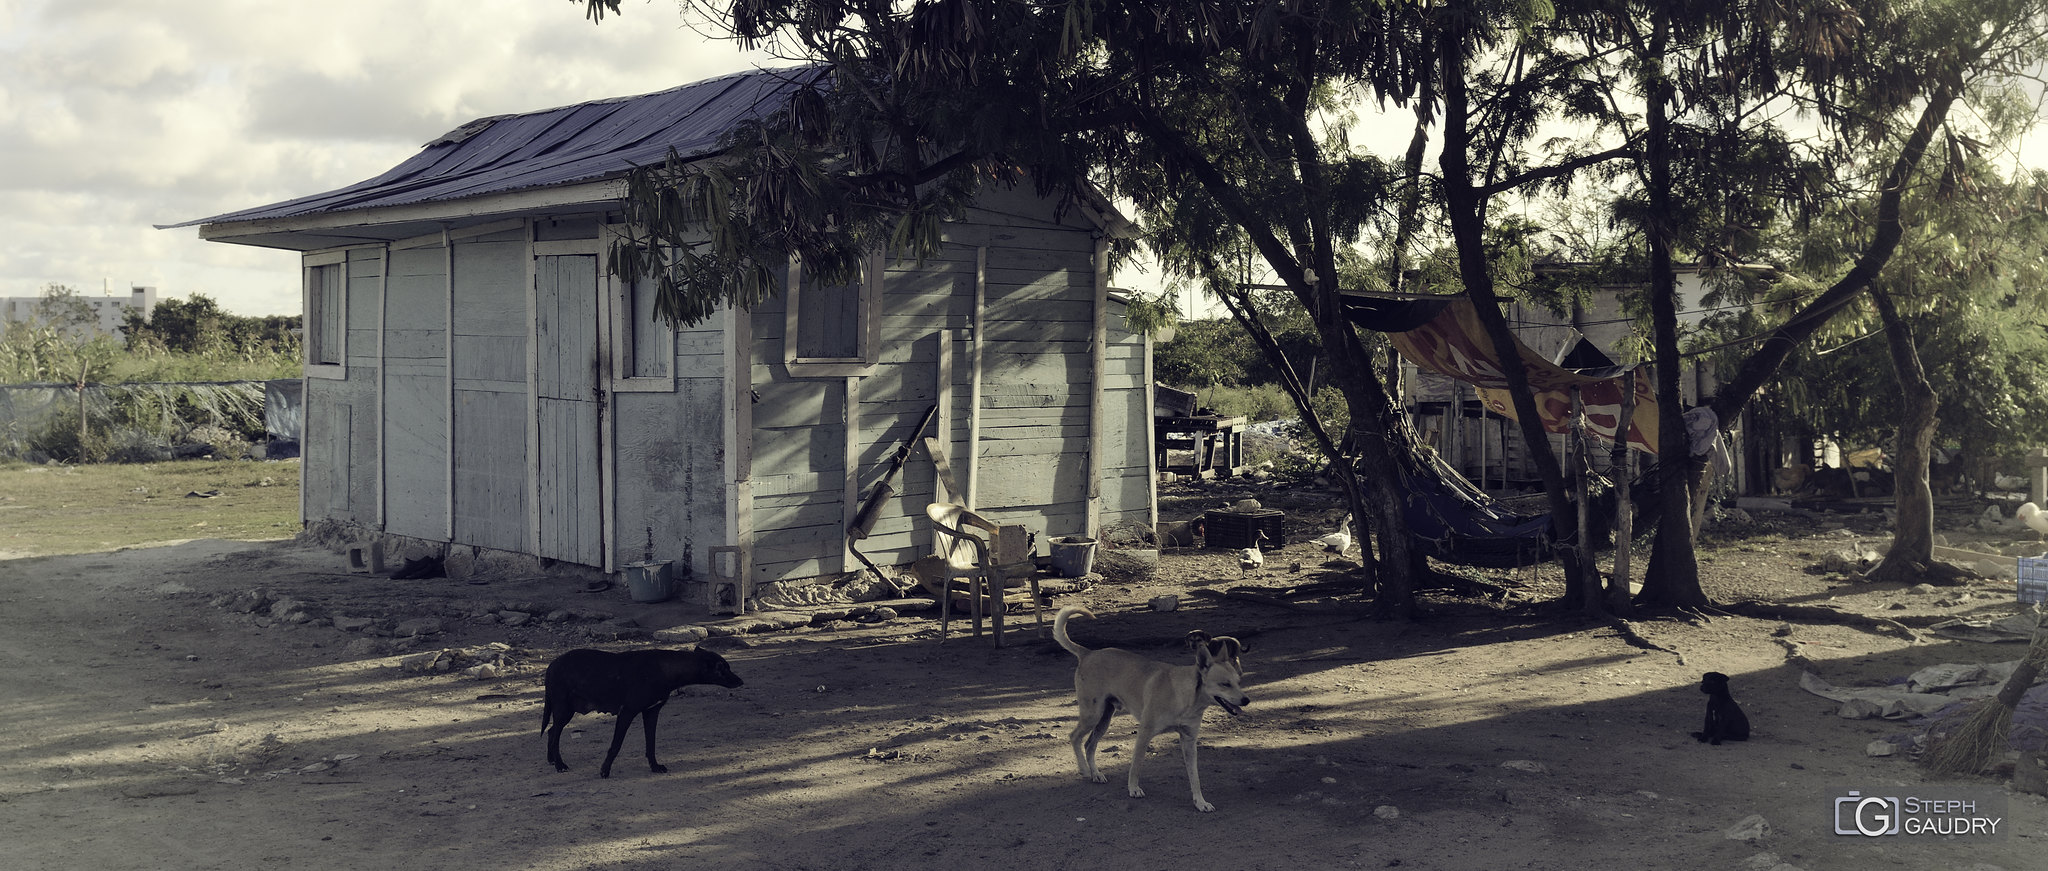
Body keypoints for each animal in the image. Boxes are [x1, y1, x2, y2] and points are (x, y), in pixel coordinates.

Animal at [544, 643, 745, 774]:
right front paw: (605, 770)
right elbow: (615, 745)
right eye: (721, 668)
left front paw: (655, 767)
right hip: (564, 711)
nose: (741, 681)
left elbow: (651, 744)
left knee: (551, 732)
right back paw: (560, 765)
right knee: (554, 735)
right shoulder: (627, 713)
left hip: (565, 712)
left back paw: (552, 760)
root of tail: (552, 664)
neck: (665, 669)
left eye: (728, 667)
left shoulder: (651, 713)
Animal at [1056, 602, 1245, 807]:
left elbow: (1195, 777)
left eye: (1238, 681)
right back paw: (1084, 769)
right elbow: (1136, 766)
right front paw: (1133, 788)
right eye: (1225, 684)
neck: (1184, 697)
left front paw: (1200, 802)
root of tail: (1088, 653)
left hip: (1104, 719)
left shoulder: (1189, 741)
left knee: (1089, 745)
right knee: (1075, 737)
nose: (1246, 700)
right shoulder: (1144, 733)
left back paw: (1096, 774)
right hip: (1093, 714)